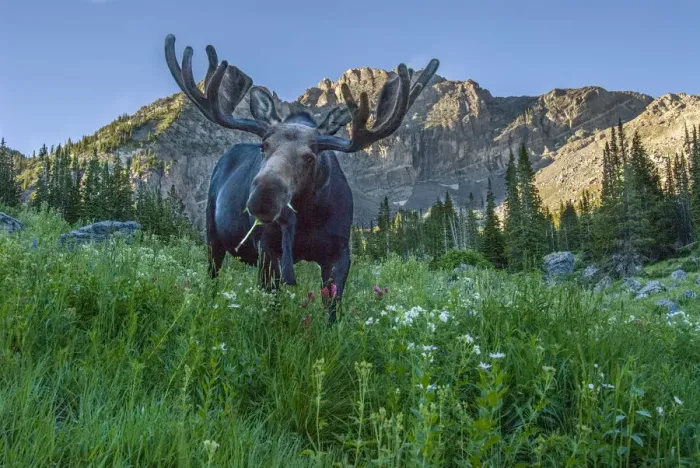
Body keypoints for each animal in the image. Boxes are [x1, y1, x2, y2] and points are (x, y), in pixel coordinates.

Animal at [164, 34, 439, 323]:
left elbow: (332, 309)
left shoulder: (340, 252)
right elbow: (271, 304)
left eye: (310, 157)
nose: (263, 198)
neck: (307, 216)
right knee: (213, 276)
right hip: (212, 236)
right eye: (264, 146)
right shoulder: (267, 249)